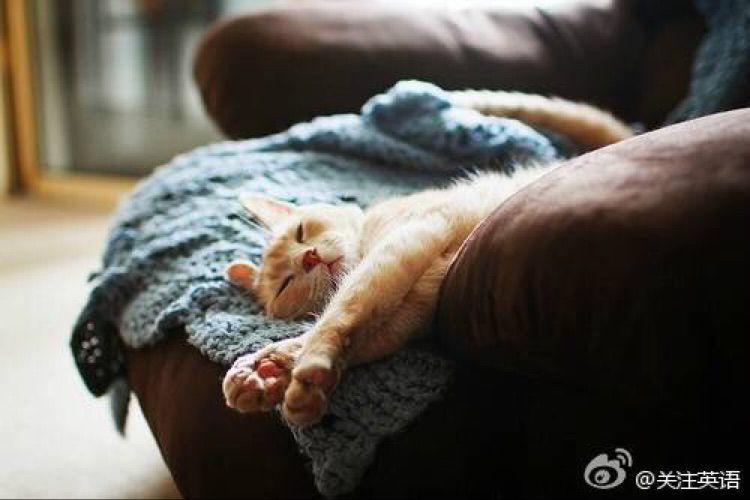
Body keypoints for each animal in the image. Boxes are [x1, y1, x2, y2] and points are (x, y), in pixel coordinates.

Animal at [221, 91, 633, 426]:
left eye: (301, 232)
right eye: (286, 284)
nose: (308, 258)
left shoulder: (404, 245)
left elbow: (338, 315)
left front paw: (301, 368)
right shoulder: (412, 309)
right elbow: (352, 332)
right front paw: (269, 370)